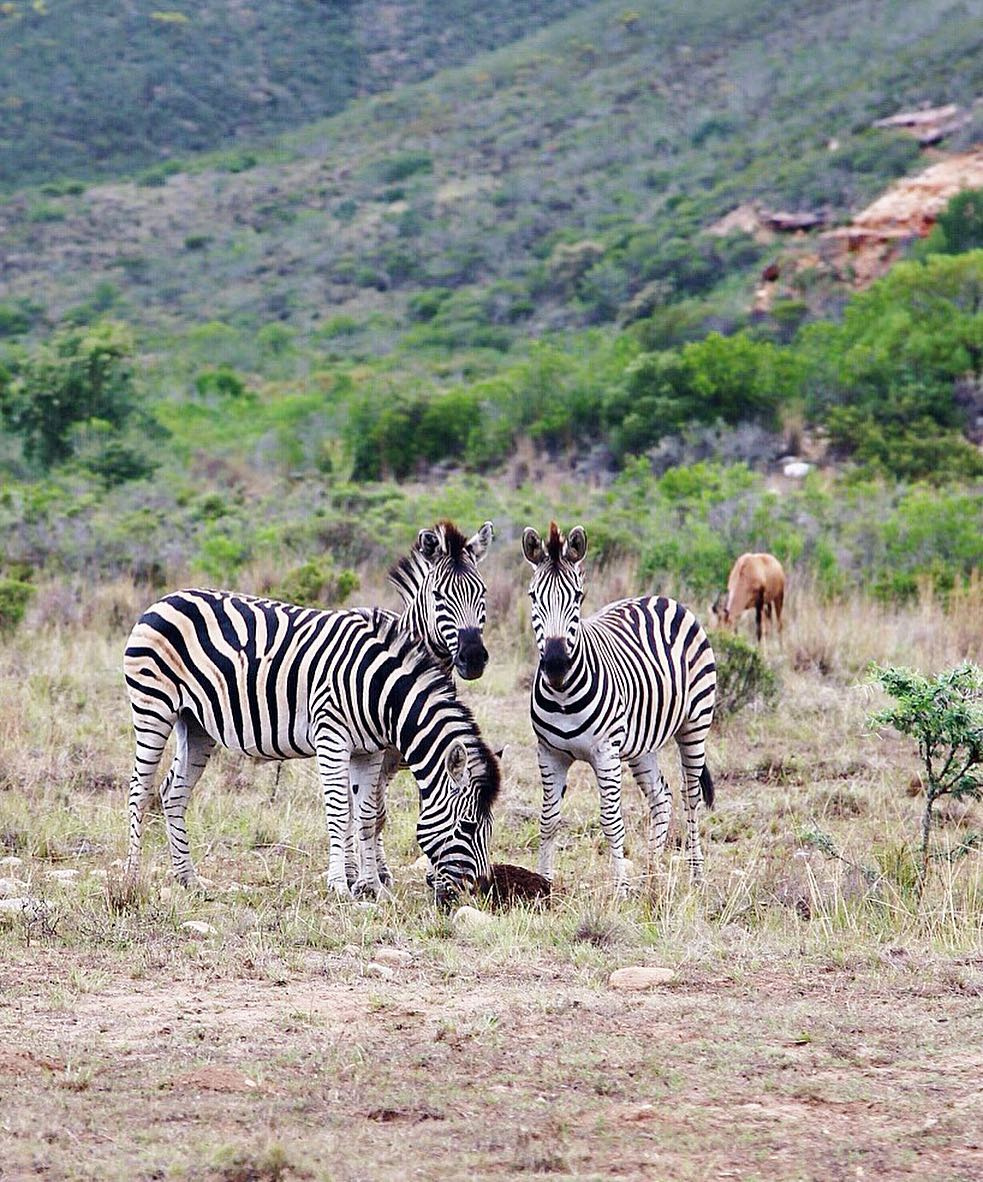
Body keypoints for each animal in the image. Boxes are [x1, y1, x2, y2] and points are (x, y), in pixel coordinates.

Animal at [123, 591, 500, 903]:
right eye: (467, 826)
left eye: (489, 828)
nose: (482, 892)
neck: (380, 691)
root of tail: (164, 600)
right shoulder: (331, 737)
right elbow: (340, 812)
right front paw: (340, 887)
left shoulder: (370, 750)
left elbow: (367, 817)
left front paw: (373, 888)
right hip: (153, 708)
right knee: (139, 790)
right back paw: (132, 879)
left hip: (196, 725)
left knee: (173, 793)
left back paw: (188, 879)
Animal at [522, 523, 716, 895]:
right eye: (533, 597)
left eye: (578, 597)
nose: (555, 663)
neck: (563, 693)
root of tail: (662, 598)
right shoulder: (549, 753)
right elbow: (548, 819)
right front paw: (544, 884)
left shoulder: (605, 753)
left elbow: (611, 820)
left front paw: (621, 891)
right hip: (642, 742)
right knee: (661, 796)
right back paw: (652, 874)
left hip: (695, 723)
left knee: (690, 797)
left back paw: (698, 876)